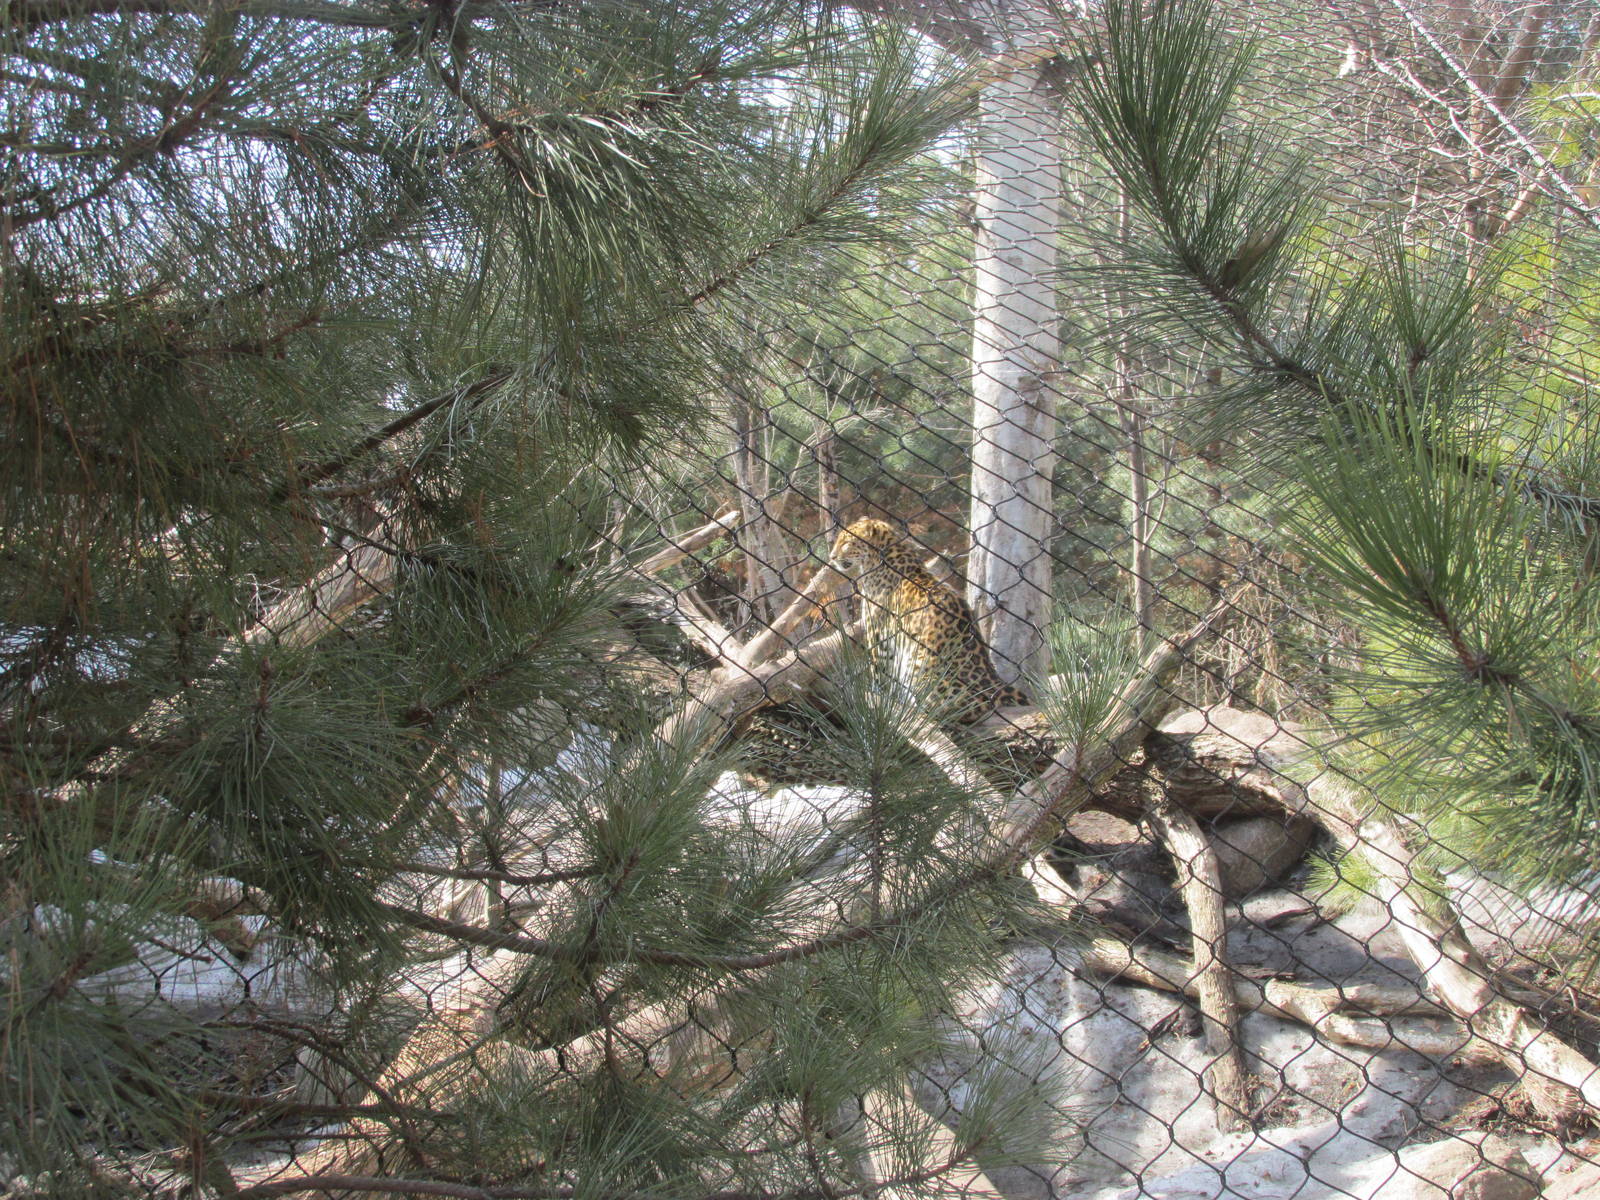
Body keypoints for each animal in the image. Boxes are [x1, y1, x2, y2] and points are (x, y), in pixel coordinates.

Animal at [828, 518, 1028, 721]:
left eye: (846, 542)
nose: (832, 557)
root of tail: (994, 685)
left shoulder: (878, 633)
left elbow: (880, 672)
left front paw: (879, 697)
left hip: (919, 666)